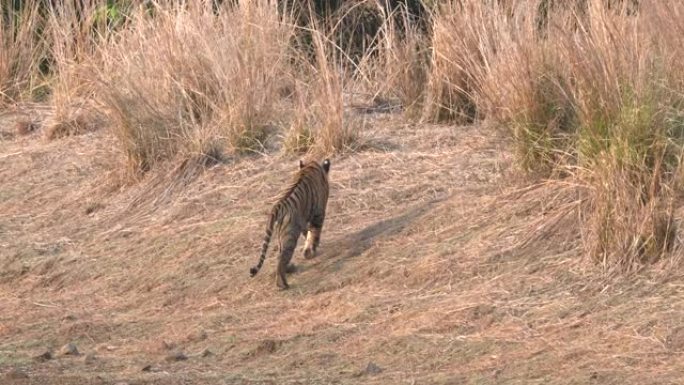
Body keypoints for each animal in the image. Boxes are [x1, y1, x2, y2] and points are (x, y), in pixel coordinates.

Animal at [248, 158, 332, 286]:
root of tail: (278, 206)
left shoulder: (304, 220)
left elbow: (308, 234)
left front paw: (308, 250)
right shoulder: (319, 213)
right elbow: (315, 234)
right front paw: (311, 251)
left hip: (282, 235)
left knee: (280, 257)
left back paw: (289, 269)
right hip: (290, 236)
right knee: (281, 260)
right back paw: (282, 285)